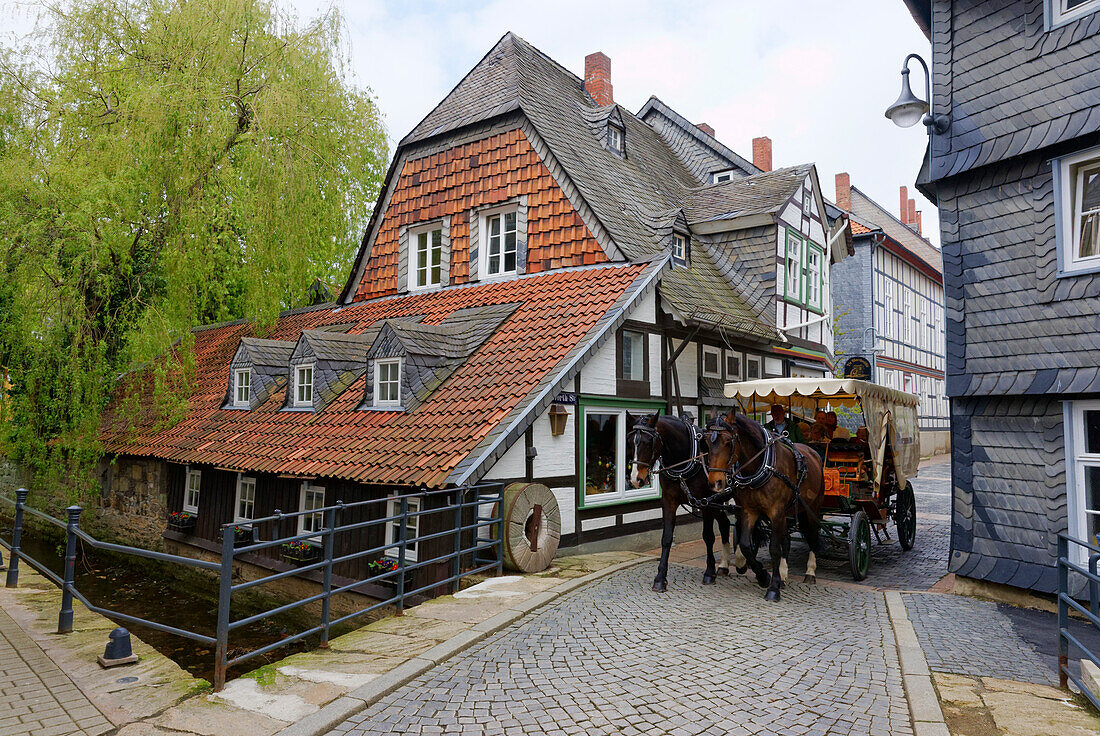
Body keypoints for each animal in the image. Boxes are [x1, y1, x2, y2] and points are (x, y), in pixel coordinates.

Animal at [629, 413, 730, 589]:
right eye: (630, 441)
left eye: (648, 442)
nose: (636, 479)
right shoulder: (669, 501)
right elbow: (666, 537)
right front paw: (660, 578)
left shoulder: (705, 503)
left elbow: (708, 536)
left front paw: (709, 572)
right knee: (725, 524)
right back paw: (724, 565)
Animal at [704, 404, 827, 598]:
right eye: (707, 441)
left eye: (728, 442)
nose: (714, 482)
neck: (761, 465)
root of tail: (812, 452)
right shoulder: (749, 510)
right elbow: (746, 545)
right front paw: (763, 576)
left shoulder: (776, 511)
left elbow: (774, 548)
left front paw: (773, 588)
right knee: (786, 538)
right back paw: (783, 573)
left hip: (812, 508)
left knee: (812, 536)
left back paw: (810, 572)